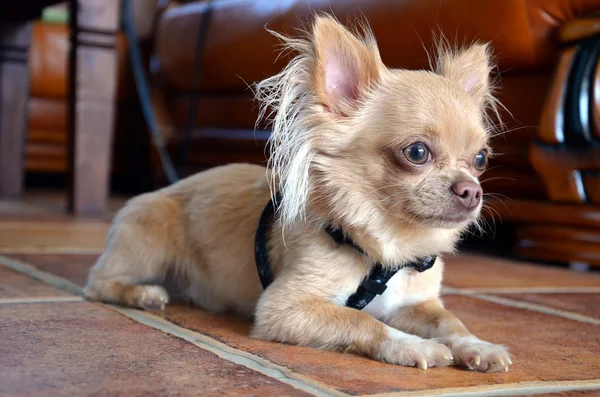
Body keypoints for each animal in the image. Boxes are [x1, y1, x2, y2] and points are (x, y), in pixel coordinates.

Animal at [84, 15, 510, 372]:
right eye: (417, 152)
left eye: (481, 159)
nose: (472, 191)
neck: (389, 248)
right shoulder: (283, 308)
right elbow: (360, 319)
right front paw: (413, 345)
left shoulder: (418, 304)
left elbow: (450, 321)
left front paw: (477, 345)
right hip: (146, 238)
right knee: (97, 283)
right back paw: (141, 293)